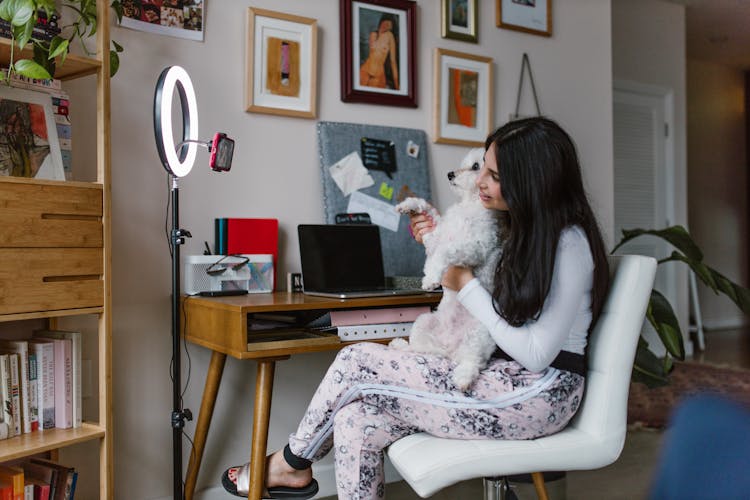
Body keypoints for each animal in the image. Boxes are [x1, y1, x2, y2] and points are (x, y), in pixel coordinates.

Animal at [394, 148, 506, 390]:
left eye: (476, 167)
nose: (450, 174)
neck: (470, 204)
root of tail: (449, 349)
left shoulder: (476, 247)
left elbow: (445, 252)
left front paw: (431, 278)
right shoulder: (435, 238)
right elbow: (430, 216)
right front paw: (410, 205)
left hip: (480, 335)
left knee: (474, 362)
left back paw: (463, 377)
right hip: (423, 322)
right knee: (419, 348)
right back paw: (401, 346)